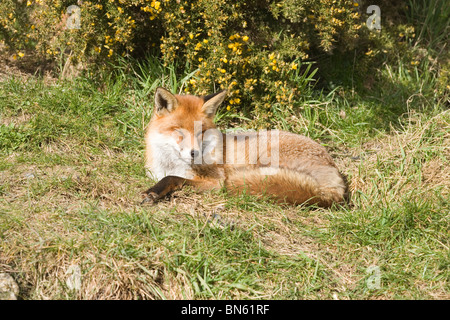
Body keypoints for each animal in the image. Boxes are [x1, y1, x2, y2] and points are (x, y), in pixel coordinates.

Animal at [142, 87, 346, 208]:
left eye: (201, 132)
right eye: (179, 131)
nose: (195, 153)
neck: (170, 164)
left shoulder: (215, 181)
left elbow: (173, 178)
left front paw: (155, 191)